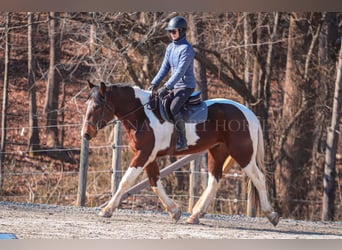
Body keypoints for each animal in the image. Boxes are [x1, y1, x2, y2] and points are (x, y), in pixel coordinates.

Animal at [81, 81, 280, 226]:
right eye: (87, 104)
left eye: (97, 106)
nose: (86, 134)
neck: (142, 115)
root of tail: (248, 112)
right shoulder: (150, 157)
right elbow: (154, 182)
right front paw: (174, 211)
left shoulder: (143, 155)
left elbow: (126, 181)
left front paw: (107, 210)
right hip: (218, 152)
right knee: (214, 180)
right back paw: (195, 215)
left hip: (243, 154)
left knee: (258, 178)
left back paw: (271, 215)